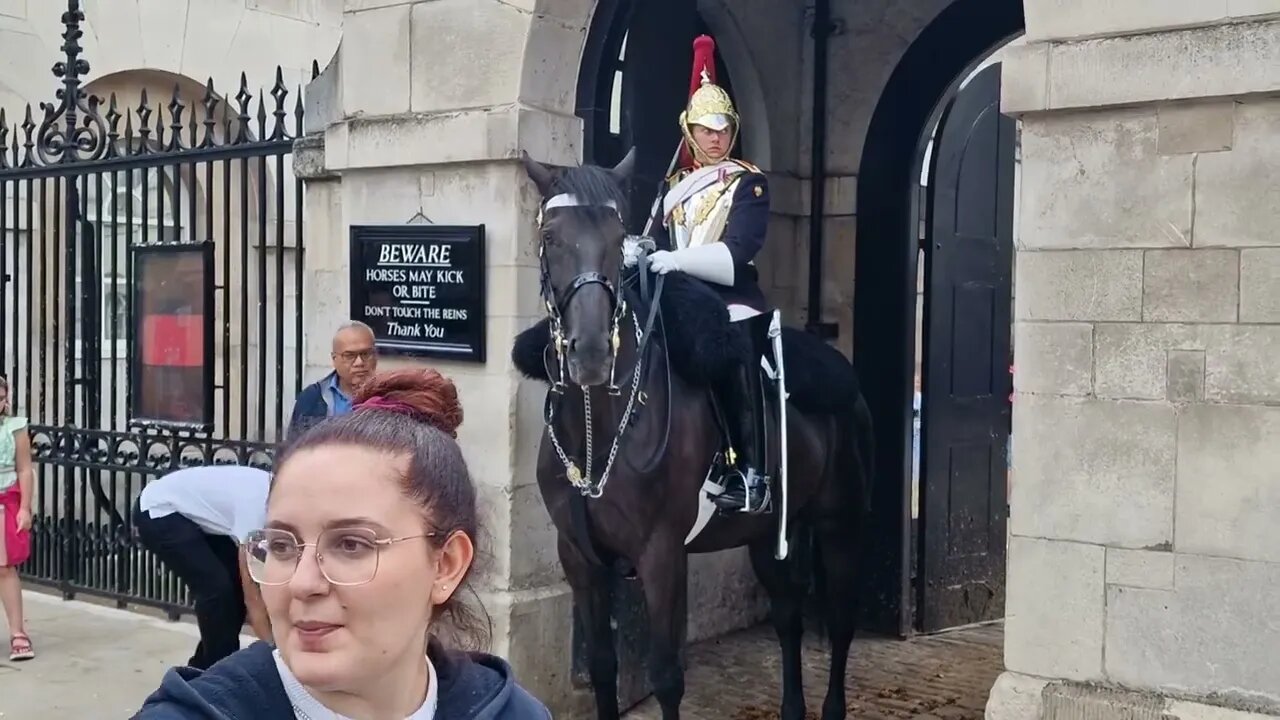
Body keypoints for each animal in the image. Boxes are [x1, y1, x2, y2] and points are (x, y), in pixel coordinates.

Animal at [514, 148, 875, 712]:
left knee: (839, 621)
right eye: (550, 236)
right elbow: (602, 667)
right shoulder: (579, 556)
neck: (598, 432)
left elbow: (666, 675)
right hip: (770, 532)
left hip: (842, 523)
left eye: (618, 238)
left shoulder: (662, 554)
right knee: (788, 616)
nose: (591, 354)